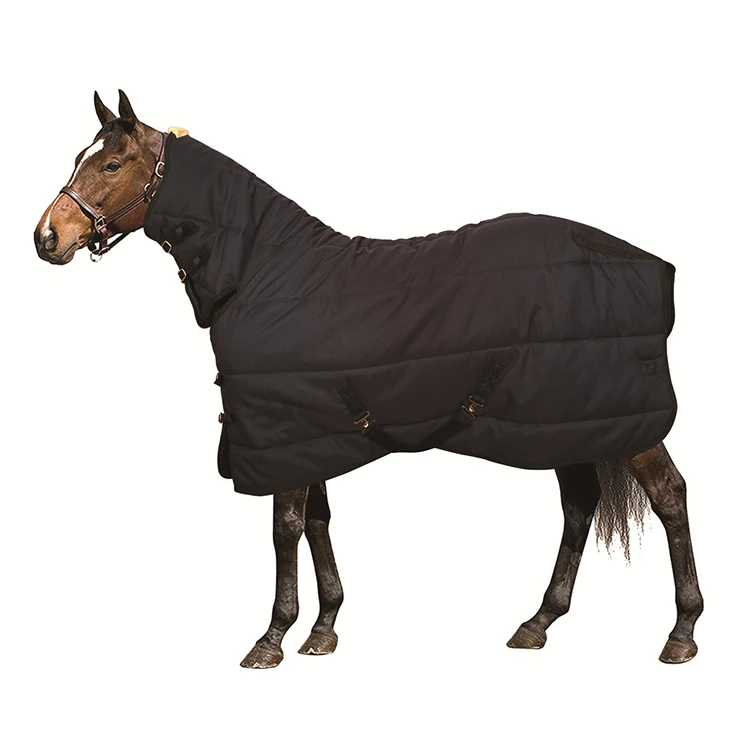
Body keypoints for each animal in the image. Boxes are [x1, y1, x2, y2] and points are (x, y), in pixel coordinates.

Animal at [34, 90, 703, 668]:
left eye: (111, 162)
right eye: (78, 158)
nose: (47, 237)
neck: (263, 271)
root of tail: (645, 261)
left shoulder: (282, 433)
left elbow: (285, 530)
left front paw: (271, 638)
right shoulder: (309, 433)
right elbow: (318, 523)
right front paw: (323, 628)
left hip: (623, 423)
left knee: (669, 496)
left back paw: (682, 632)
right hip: (567, 420)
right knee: (580, 505)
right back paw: (538, 622)